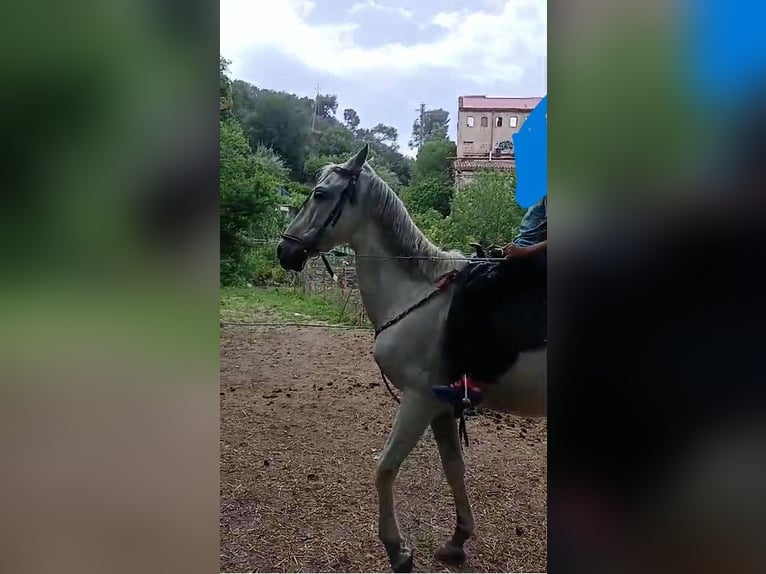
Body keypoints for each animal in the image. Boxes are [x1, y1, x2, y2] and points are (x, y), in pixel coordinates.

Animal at [276, 143, 544, 572]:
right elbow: (454, 468)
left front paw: (396, 549)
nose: (284, 250)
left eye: (319, 194)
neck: (416, 293)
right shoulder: (441, 407)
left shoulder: (418, 401)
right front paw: (457, 539)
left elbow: (385, 468)